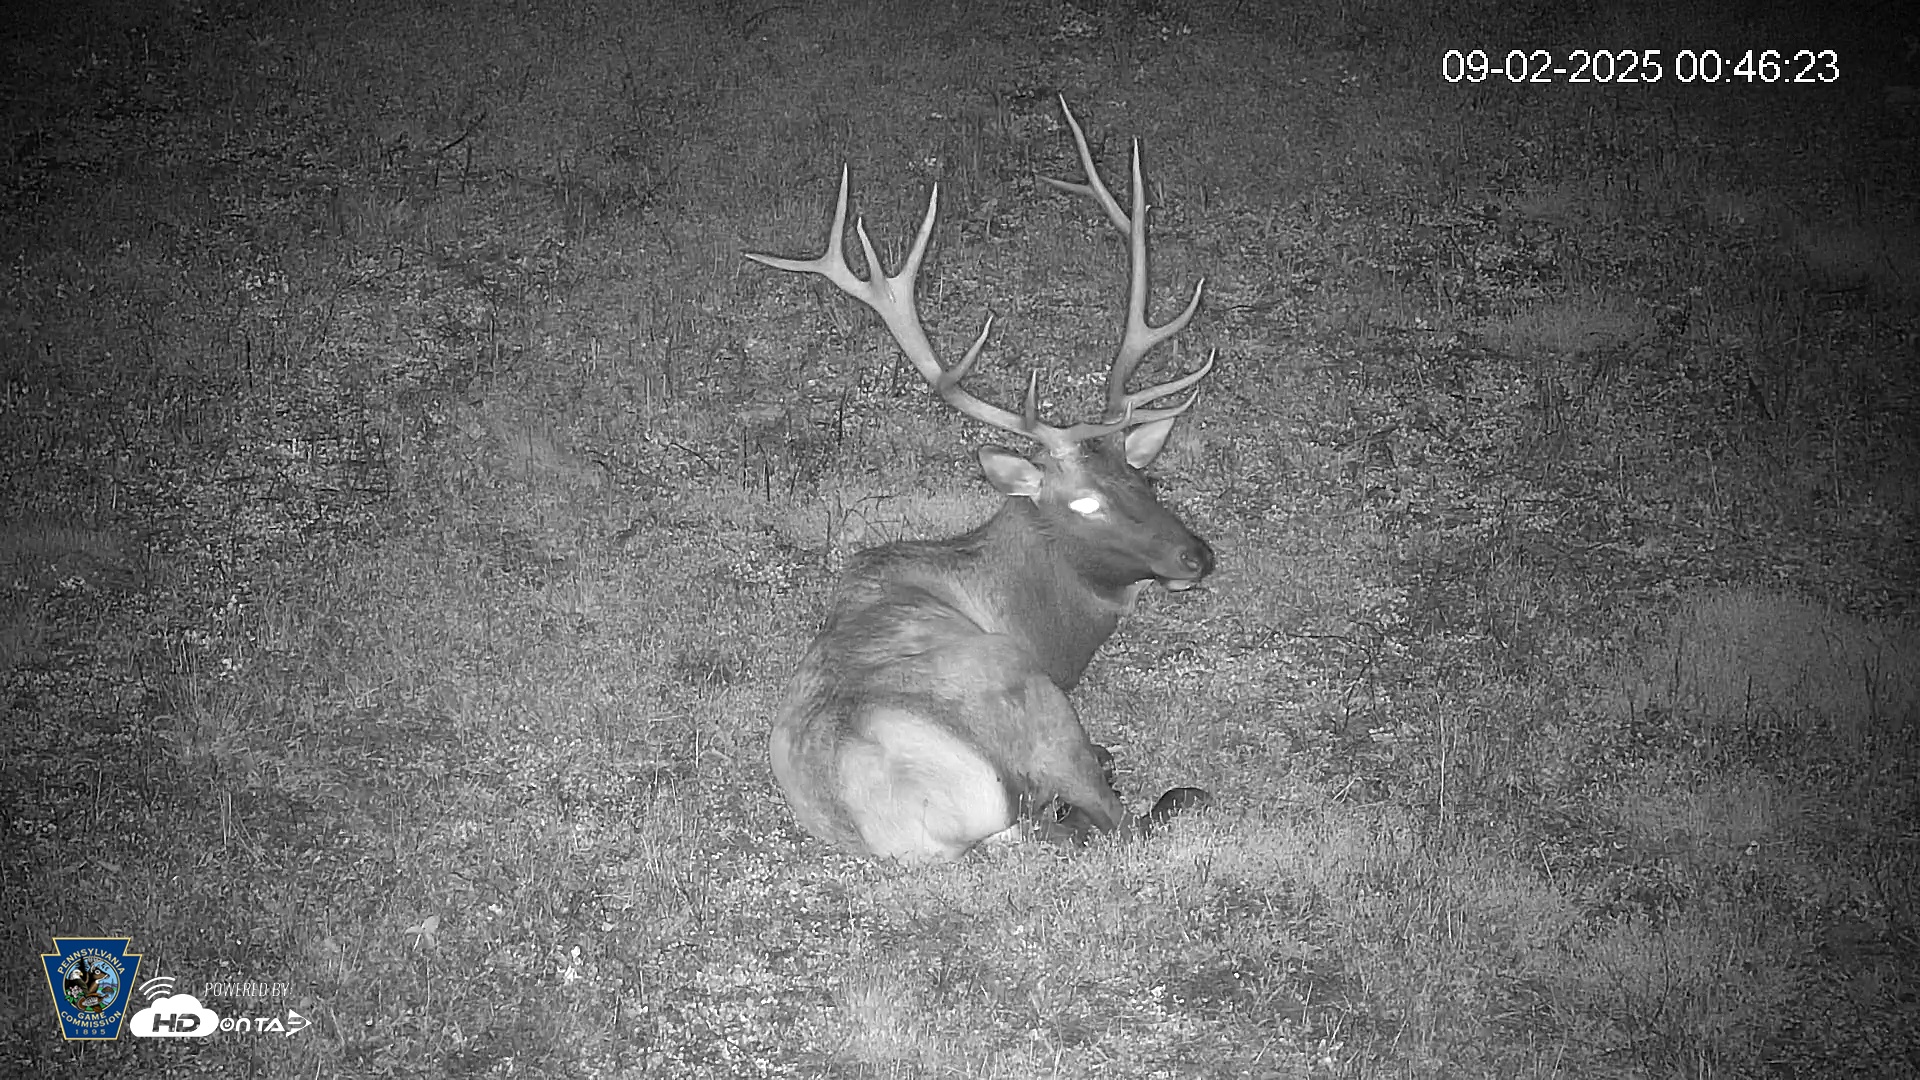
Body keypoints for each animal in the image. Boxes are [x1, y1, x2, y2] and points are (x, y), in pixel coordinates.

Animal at [746, 98, 1216, 862]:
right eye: (1085, 503)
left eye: (1147, 480)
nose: (1196, 556)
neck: (1039, 621)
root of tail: (927, 820)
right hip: (1034, 707)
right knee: (1124, 821)